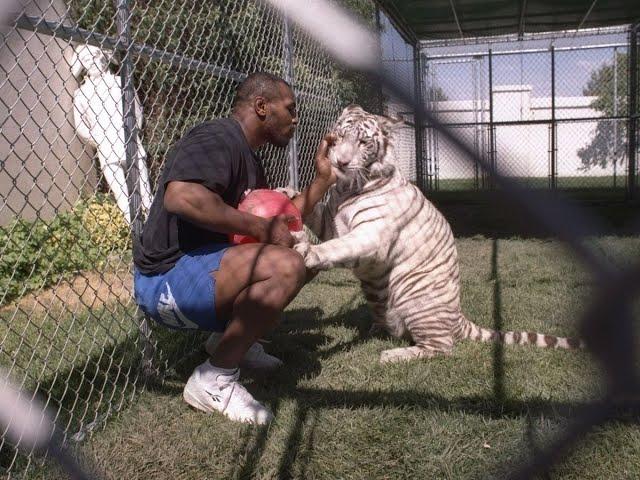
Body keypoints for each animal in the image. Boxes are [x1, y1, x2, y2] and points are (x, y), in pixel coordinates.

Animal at [292, 106, 584, 364]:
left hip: (415, 298)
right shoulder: (331, 221)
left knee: (441, 347)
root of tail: (458, 317)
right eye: (339, 136)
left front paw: (310, 251)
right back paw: (377, 331)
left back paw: (392, 355)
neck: (345, 189)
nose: (340, 162)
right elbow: (315, 213)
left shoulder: (371, 235)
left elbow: (340, 246)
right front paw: (288, 192)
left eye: (363, 142)